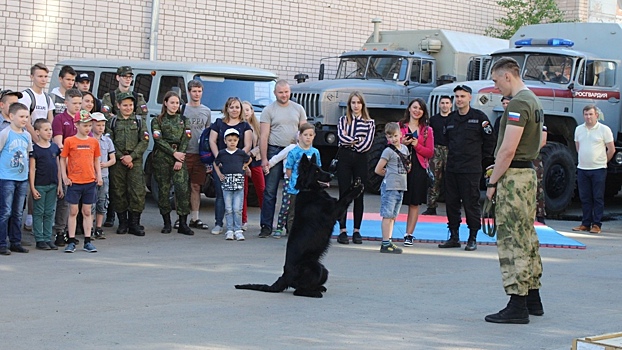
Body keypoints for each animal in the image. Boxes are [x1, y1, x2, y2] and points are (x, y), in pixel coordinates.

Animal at [238, 154, 366, 296]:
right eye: (316, 171)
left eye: (320, 168)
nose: (332, 175)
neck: (310, 190)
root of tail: (285, 276)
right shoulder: (335, 211)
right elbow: (345, 198)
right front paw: (357, 189)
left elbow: (344, 194)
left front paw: (355, 183)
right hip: (316, 269)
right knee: (299, 291)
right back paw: (316, 293)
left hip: (323, 270)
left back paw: (319, 288)